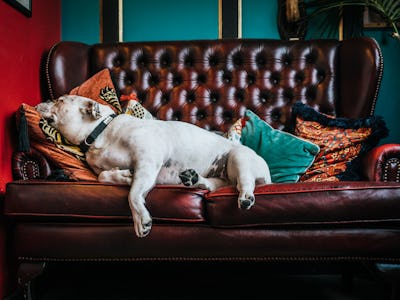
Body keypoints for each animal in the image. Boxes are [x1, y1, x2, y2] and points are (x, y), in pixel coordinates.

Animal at [36, 95, 272, 237]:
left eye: (60, 100)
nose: (44, 100)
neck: (101, 131)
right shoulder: (107, 170)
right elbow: (104, 176)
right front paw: (125, 176)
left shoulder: (147, 160)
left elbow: (133, 195)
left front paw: (141, 220)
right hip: (220, 179)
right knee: (215, 184)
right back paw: (193, 178)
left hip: (239, 157)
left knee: (245, 181)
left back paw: (246, 197)